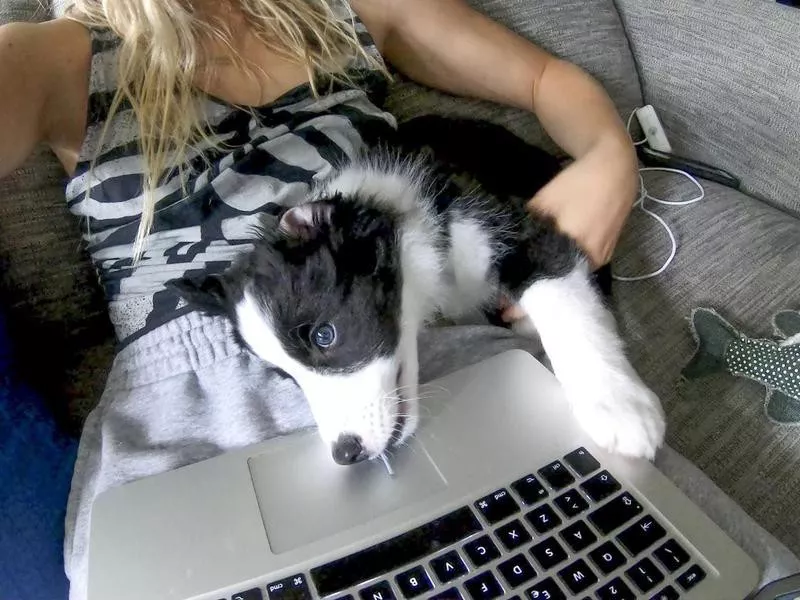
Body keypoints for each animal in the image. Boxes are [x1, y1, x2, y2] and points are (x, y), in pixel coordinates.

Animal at [172, 116, 664, 464]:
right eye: (284, 377)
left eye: (324, 336)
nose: (346, 454)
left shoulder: (518, 231)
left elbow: (561, 298)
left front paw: (618, 403)